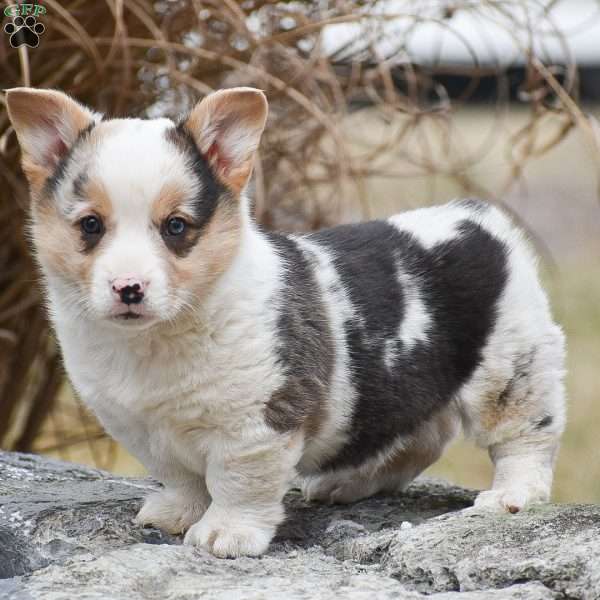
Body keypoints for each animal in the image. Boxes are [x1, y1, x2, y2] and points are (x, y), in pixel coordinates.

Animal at [7, 88, 564, 556]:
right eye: (90, 225)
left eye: (176, 227)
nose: (129, 288)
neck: (156, 340)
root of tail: (478, 218)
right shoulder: (143, 429)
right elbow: (180, 477)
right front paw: (174, 515)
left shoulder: (256, 426)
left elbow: (236, 484)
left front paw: (223, 535)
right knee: (419, 437)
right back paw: (347, 483)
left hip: (513, 369)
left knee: (525, 439)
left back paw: (510, 497)